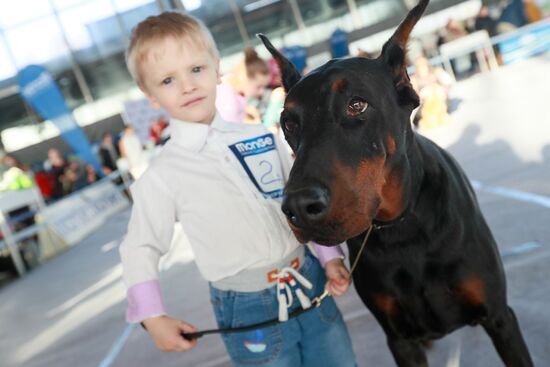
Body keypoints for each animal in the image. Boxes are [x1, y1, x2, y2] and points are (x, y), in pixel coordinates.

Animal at [258, 1, 536, 366]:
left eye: (357, 104)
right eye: (288, 122)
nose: (299, 208)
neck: (403, 230)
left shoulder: (500, 318)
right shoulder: (400, 340)